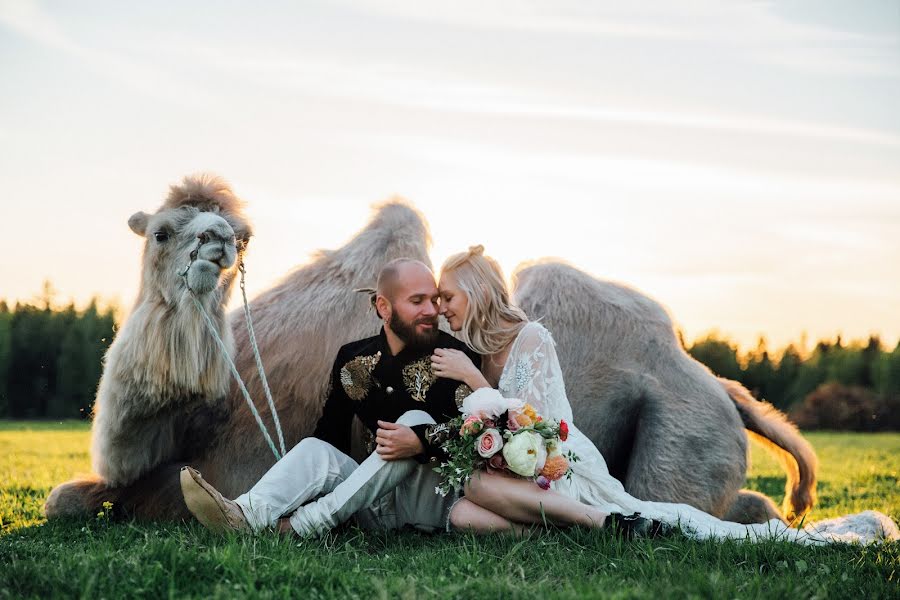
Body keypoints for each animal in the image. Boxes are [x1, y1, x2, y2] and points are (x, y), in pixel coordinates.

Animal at [44, 179, 816, 524]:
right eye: (162, 230)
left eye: (238, 232)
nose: (214, 243)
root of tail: (718, 384)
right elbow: (66, 499)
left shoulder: (232, 458)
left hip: (684, 429)